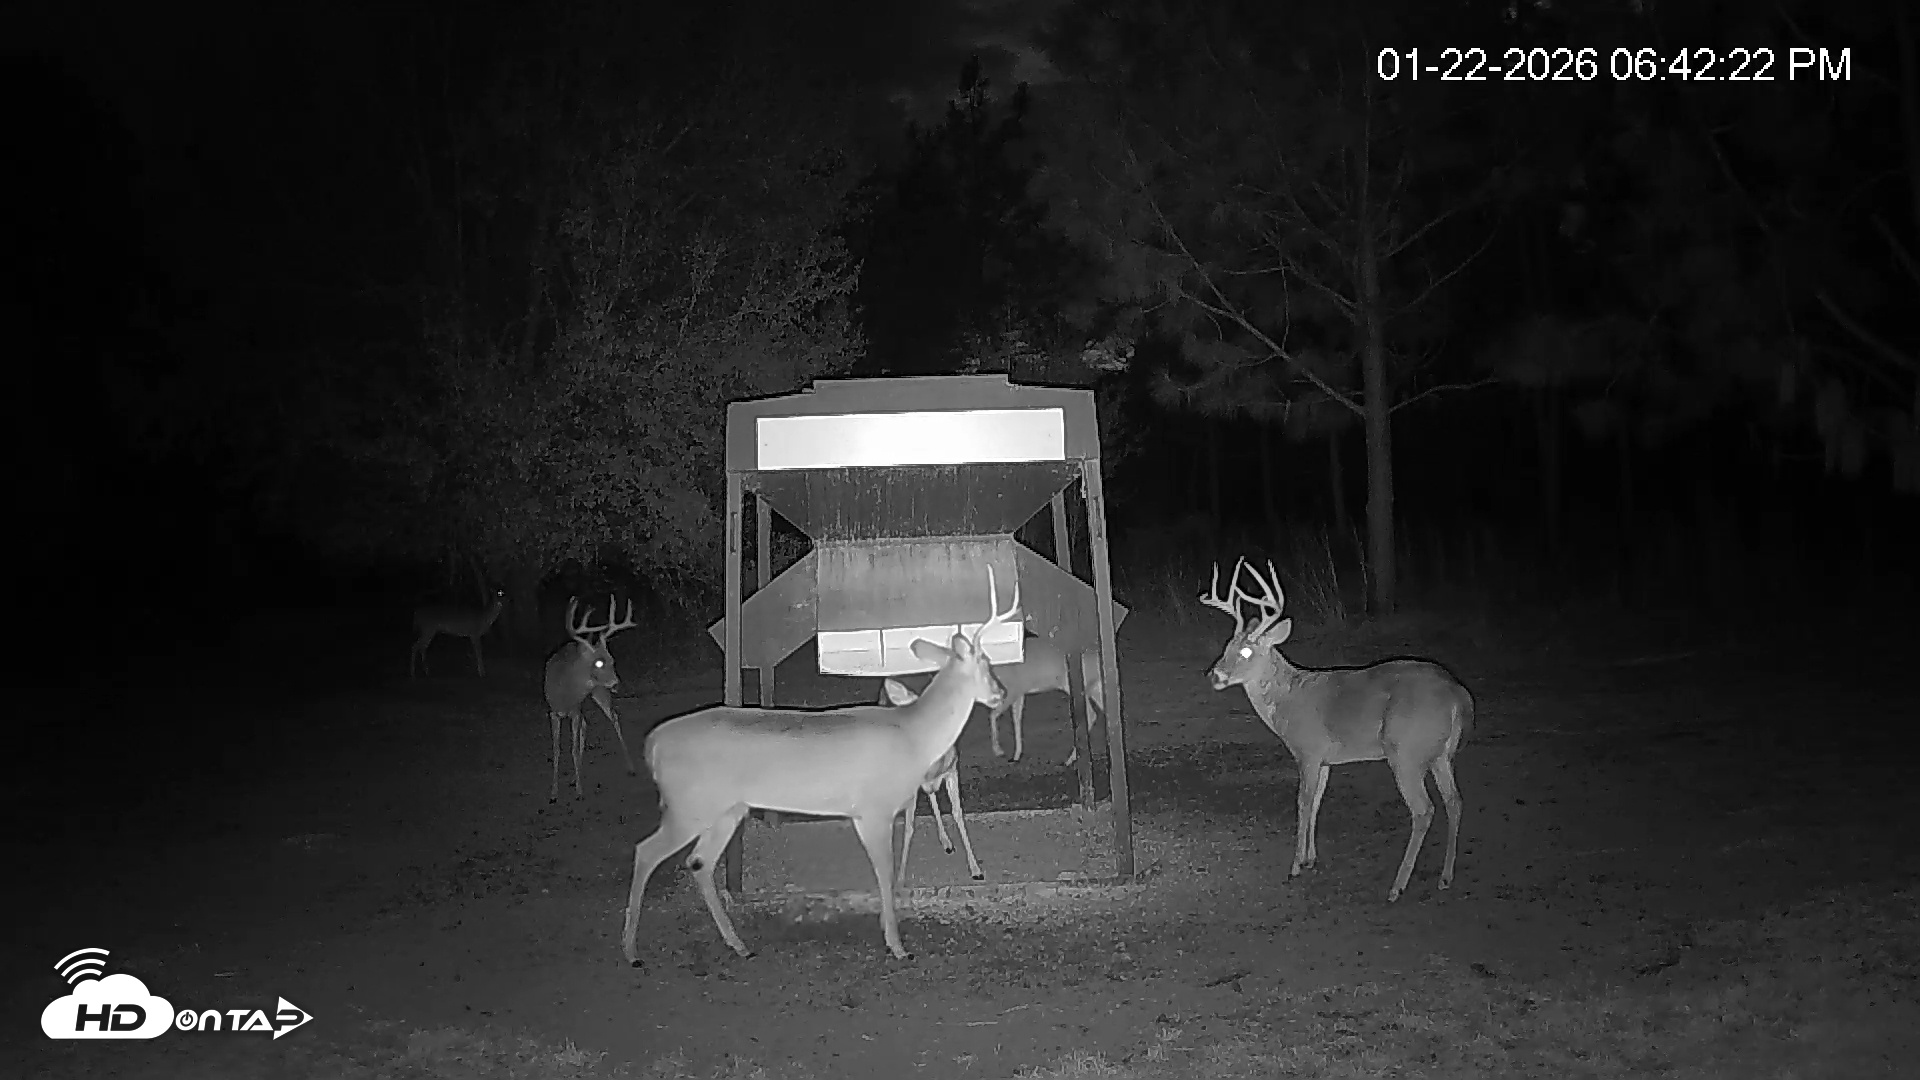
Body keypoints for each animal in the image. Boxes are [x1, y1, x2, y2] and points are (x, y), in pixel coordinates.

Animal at [543, 595, 640, 802]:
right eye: (599, 662)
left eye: (612, 660)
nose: (616, 684)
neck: (566, 692)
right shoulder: (553, 713)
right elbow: (556, 749)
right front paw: (554, 793)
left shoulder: (575, 710)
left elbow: (572, 748)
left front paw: (579, 791)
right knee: (587, 725)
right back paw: (575, 775)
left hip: (599, 692)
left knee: (613, 717)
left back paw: (630, 767)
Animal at [879, 678, 984, 885]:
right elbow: (909, 827)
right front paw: (901, 878)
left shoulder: (952, 771)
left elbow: (957, 813)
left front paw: (976, 869)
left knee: (932, 796)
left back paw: (947, 843)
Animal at [1200, 557, 1472, 902]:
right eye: (1228, 645)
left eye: (1247, 652)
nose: (1215, 675)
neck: (1288, 701)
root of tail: (1457, 694)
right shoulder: (1326, 759)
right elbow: (1317, 800)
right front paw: (1310, 858)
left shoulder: (1308, 750)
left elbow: (1303, 801)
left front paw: (1295, 866)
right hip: (1440, 754)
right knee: (1455, 801)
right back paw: (1445, 876)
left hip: (1406, 752)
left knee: (1424, 810)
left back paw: (1397, 887)